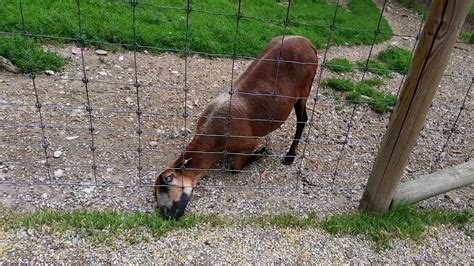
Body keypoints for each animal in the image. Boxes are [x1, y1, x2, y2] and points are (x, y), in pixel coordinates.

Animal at [156, 35, 318, 218]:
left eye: (168, 180)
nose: (167, 215)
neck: (212, 138)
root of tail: (307, 42)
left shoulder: (246, 142)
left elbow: (235, 169)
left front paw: (261, 152)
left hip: (304, 88)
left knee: (302, 120)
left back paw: (290, 156)